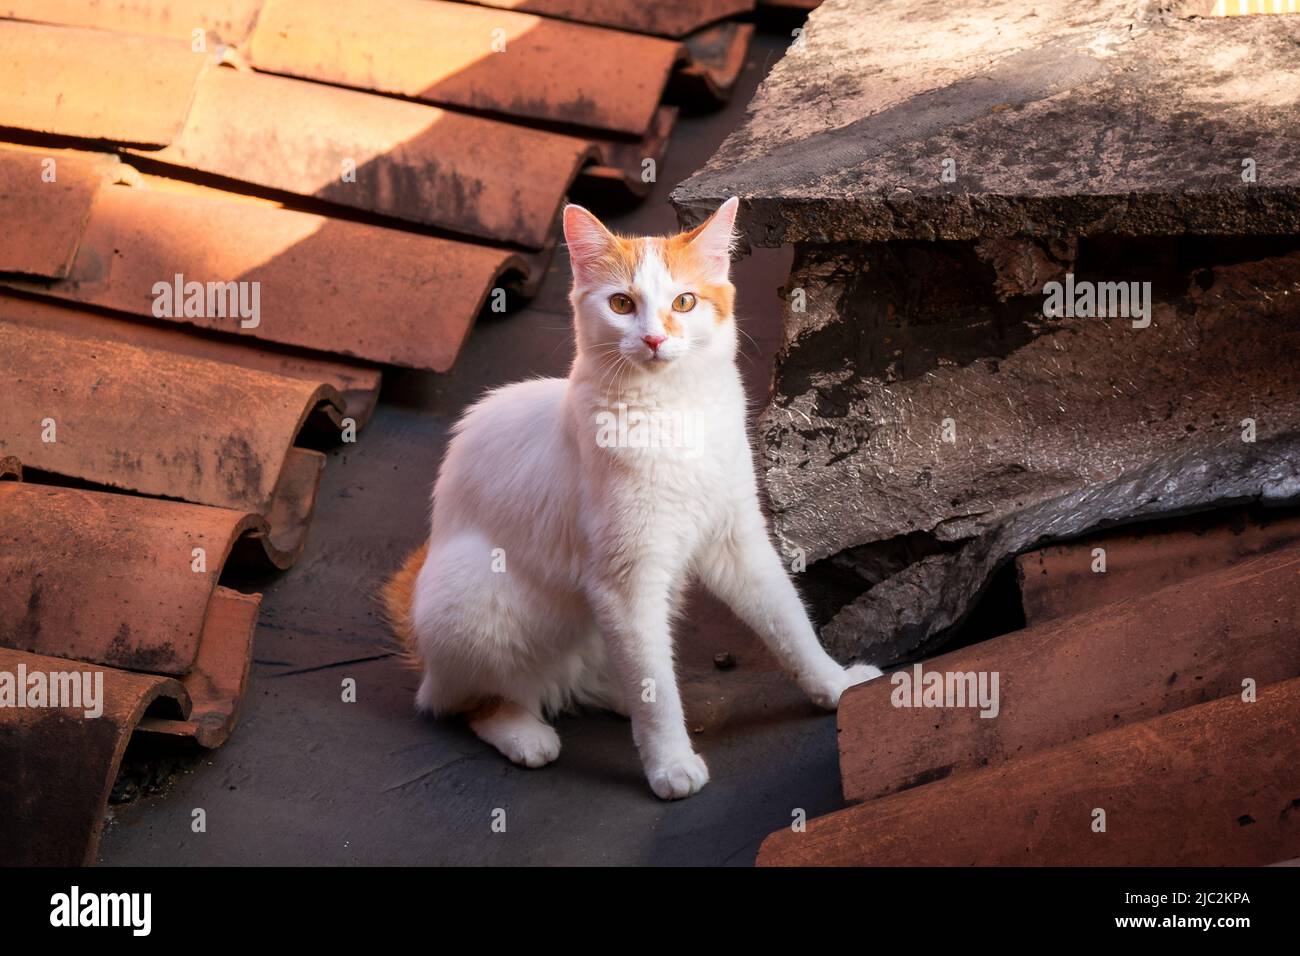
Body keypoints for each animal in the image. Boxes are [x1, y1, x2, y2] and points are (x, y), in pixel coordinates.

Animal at [379, 196, 878, 801]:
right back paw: (526, 732)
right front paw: (671, 764)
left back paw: (614, 695)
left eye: (684, 302)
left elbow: (789, 624)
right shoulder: (625, 581)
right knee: (468, 701)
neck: (672, 412)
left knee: (603, 675)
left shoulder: (737, 542)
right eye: (621, 304)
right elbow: (655, 693)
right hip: (475, 595)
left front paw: (836, 685)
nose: (654, 339)